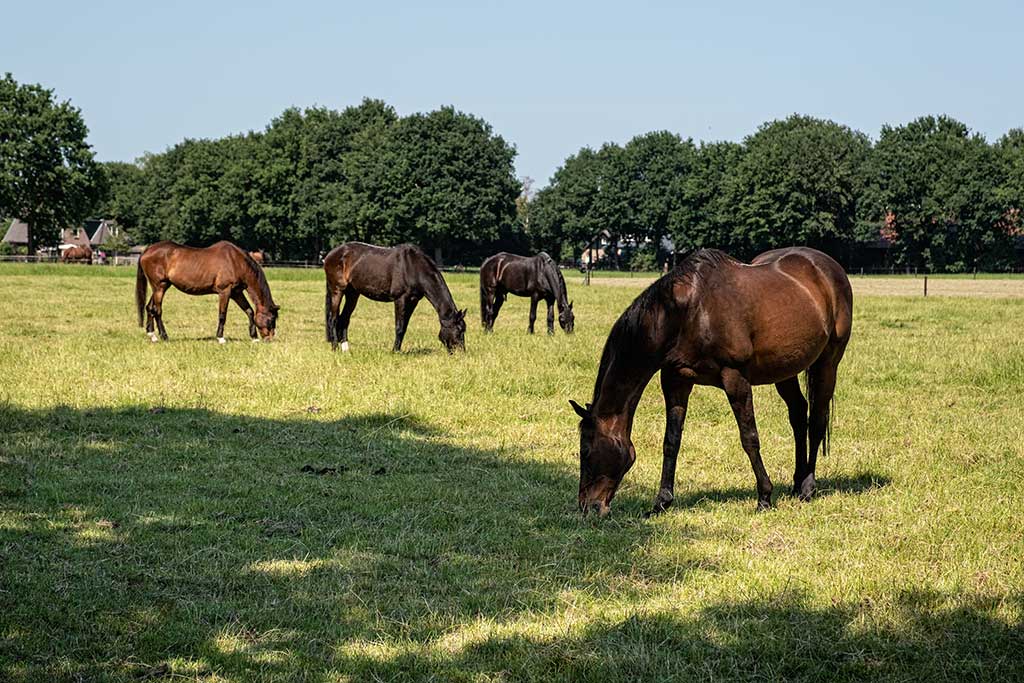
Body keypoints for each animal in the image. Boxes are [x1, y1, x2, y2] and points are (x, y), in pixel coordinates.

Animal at [136, 241, 282, 348]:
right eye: (271, 319)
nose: (269, 339)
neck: (236, 261)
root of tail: (147, 251)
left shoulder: (236, 293)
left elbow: (249, 311)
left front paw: (254, 338)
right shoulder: (225, 292)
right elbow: (222, 315)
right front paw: (221, 338)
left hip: (161, 287)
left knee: (150, 308)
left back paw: (152, 336)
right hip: (159, 287)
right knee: (157, 311)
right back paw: (164, 336)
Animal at [323, 242, 468, 352]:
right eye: (459, 330)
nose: (461, 352)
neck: (414, 267)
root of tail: (329, 255)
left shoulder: (413, 301)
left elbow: (404, 327)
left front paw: (397, 349)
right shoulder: (400, 299)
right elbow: (399, 326)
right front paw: (395, 351)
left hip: (352, 293)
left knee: (344, 319)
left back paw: (346, 349)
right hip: (337, 290)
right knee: (333, 319)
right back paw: (335, 348)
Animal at [573, 248, 851, 516]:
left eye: (585, 451)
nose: (589, 508)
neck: (689, 311)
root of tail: (827, 267)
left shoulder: (735, 378)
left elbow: (749, 438)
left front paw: (764, 497)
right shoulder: (675, 380)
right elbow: (671, 441)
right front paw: (662, 502)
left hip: (828, 362)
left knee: (817, 420)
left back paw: (807, 487)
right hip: (785, 370)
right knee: (799, 415)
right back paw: (796, 483)